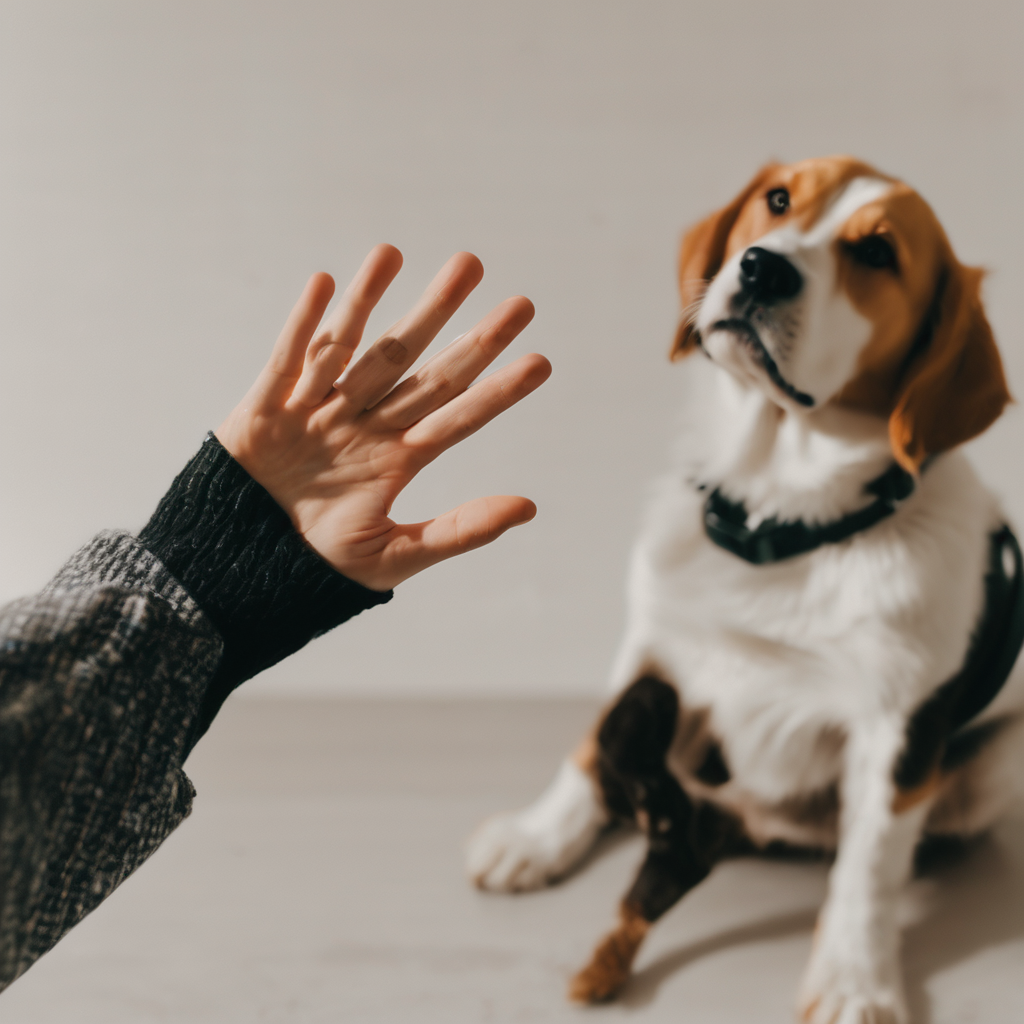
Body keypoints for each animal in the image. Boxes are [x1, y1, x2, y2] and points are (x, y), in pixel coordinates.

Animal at [464, 153, 1024, 1024]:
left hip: (1004, 759)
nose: (764, 267)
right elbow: (588, 748)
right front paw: (539, 836)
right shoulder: (653, 642)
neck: (780, 521)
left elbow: (868, 868)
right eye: (780, 200)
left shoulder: (896, 725)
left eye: (879, 253)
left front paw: (854, 974)